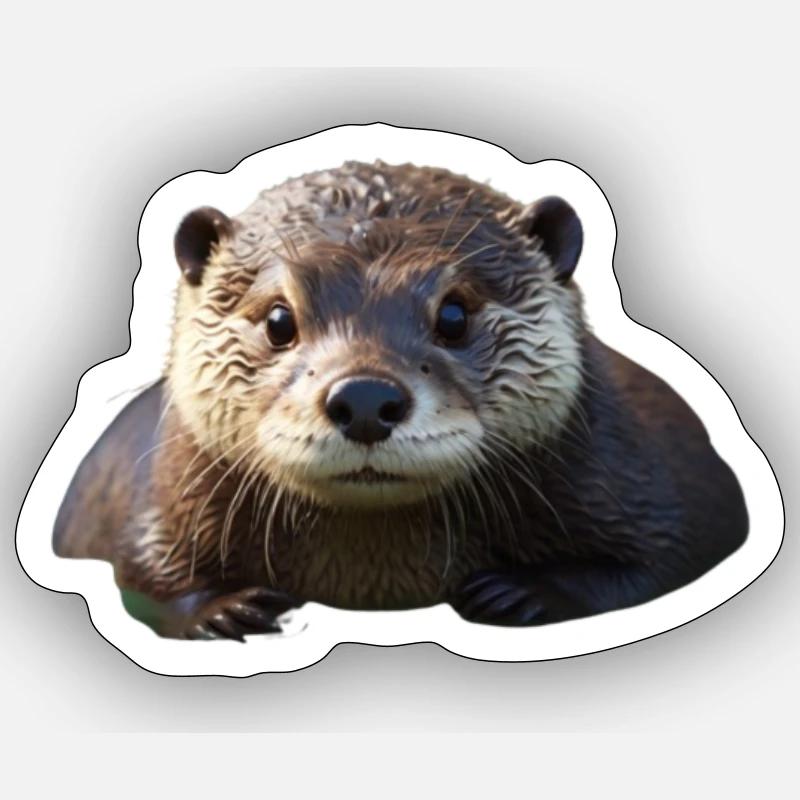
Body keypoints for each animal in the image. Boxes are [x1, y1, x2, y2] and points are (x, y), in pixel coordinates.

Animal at [53, 160, 748, 640]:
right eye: (279, 319)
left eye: (455, 314)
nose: (364, 397)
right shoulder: (156, 494)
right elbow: (141, 575)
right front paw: (224, 609)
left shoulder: (647, 474)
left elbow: (671, 554)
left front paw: (524, 594)